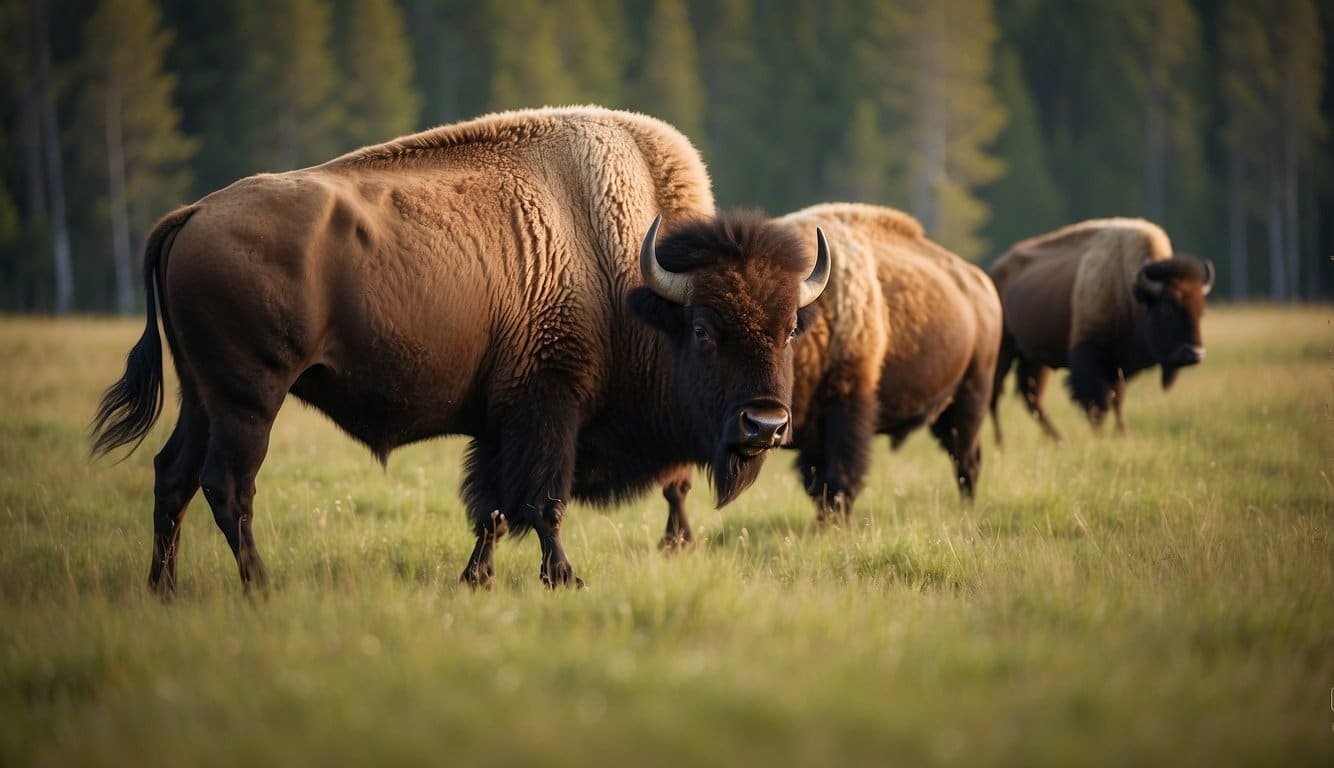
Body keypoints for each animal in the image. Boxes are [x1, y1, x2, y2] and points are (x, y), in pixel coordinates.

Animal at [88, 105, 827, 592]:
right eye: (702, 328)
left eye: (791, 324)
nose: (765, 423)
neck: (624, 274)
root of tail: (191, 214)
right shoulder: (548, 408)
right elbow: (542, 502)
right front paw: (565, 579)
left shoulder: (503, 423)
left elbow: (493, 509)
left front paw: (476, 580)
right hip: (249, 399)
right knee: (228, 485)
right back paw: (261, 587)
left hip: (201, 397)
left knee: (173, 476)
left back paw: (164, 590)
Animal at [656, 200, 1003, 546]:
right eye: (701, 331)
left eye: (790, 332)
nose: (761, 422)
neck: (822, 320)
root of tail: (983, 286)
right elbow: (817, 484)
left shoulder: (848, 408)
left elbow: (839, 478)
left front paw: (834, 530)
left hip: (970, 399)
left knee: (966, 461)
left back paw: (967, 511)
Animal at [987, 218, 1216, 440]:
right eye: (1167, 308)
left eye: (1202, 310)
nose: (1194, 354)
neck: (1128, 289)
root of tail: (993, 272)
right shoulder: (1089, 355)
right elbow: (1097, 402)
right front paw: (1100, 436)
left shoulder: (1118, 365)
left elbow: (1117, 399)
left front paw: (1123, 433)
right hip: (1004, 352)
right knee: (996, 395)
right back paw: (1001, 442)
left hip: (1034, 358)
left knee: (1032, 398)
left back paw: (1058, 439)